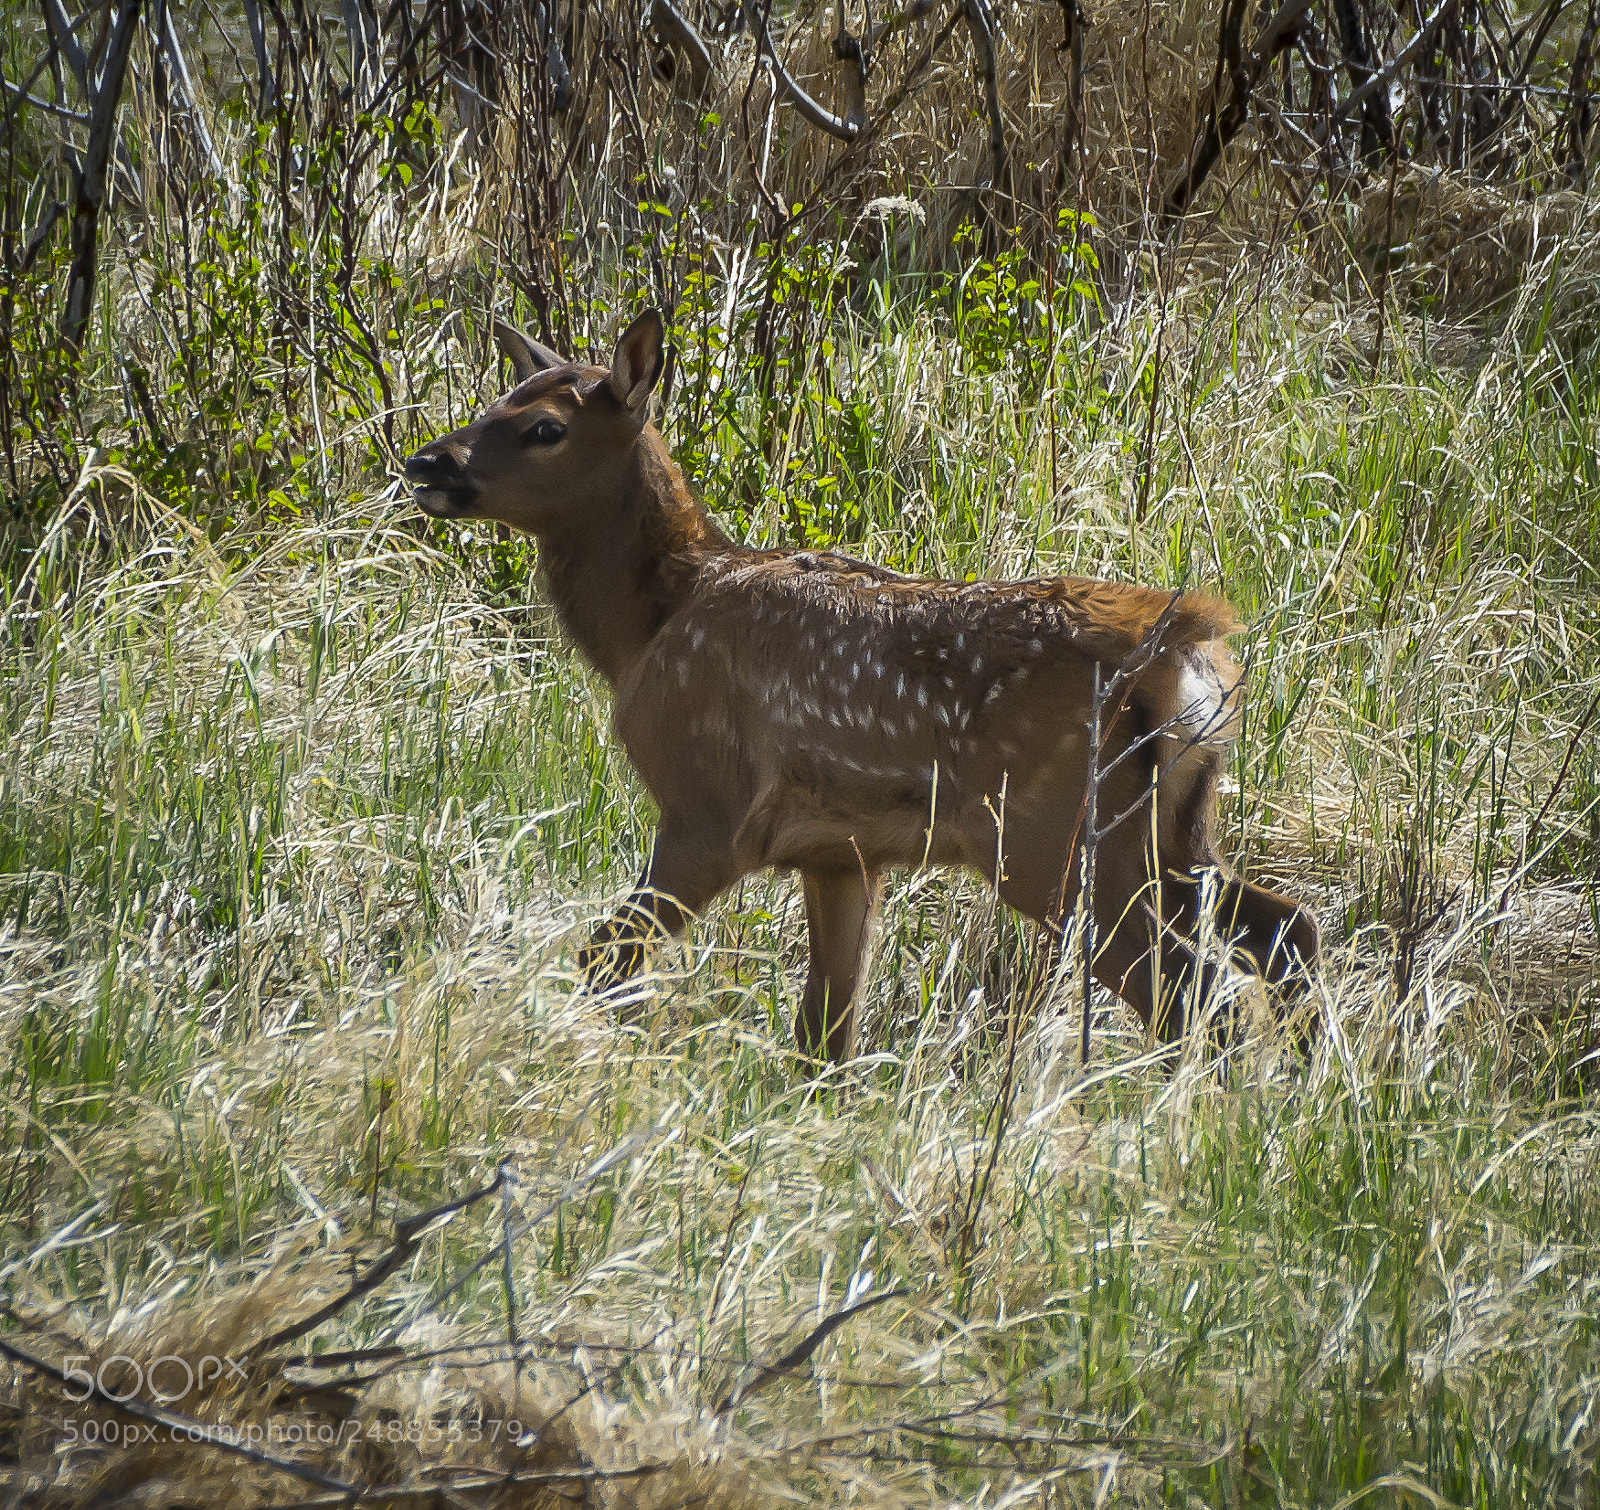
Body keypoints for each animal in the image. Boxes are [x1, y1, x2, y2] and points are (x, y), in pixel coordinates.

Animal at [404, 309, 1320, 1064]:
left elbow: (604, 954)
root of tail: (1185, 651)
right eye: (495, 400)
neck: (649, 625)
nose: (425, 461)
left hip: (1051, 836)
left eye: (545, 427)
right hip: (1174, 830)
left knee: (1195, 996)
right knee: (1284, 929)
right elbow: (826, 1033)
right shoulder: (840, 852)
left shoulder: (710, 805)